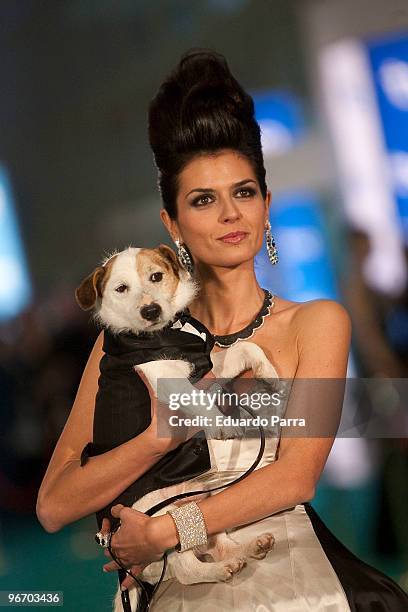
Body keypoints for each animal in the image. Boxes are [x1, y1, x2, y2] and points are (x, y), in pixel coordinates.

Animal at [75, 245, 278, 612]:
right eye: (121, 288)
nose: (151, 310)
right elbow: (198, 401)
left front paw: (268, 372)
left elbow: (244, 347)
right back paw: (220, 569)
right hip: (158, 517)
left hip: (200, 501)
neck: (168, 332)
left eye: (156, 276)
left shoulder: (206, 368)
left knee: (214, 542)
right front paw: (221, 425)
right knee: (185, 568)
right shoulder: (166, 379)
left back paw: (247, 550)